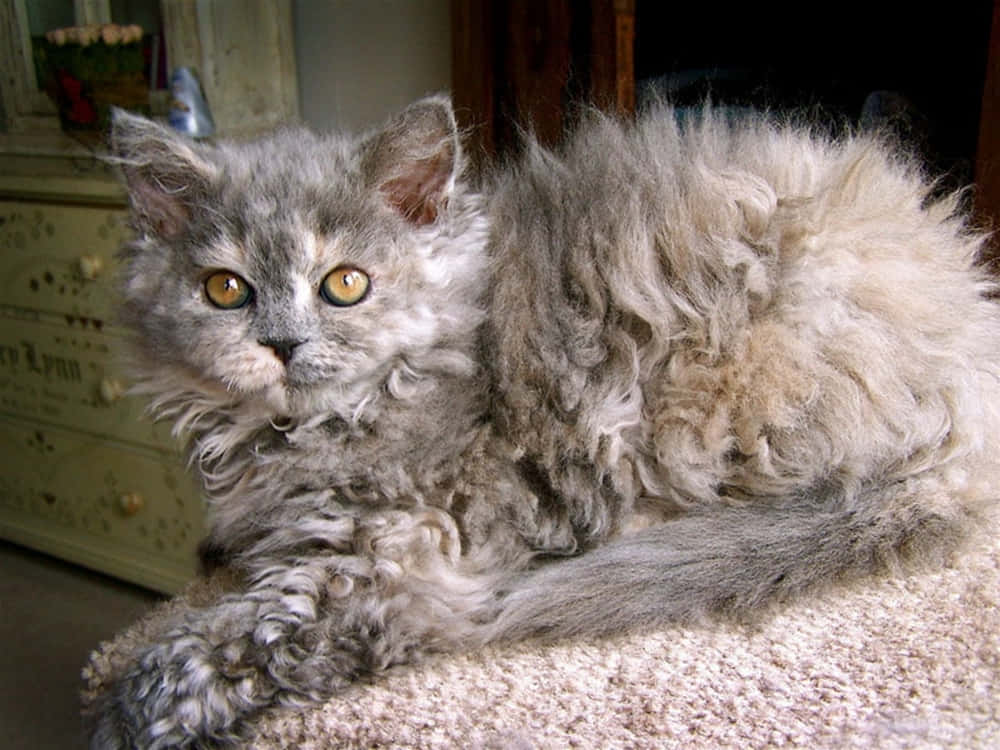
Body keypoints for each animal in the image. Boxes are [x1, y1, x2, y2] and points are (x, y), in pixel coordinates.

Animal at [90, 97, 1000, 748]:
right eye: (226, 290)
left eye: (345, 284)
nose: (280, 344)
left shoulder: (401, 563)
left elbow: (218, 652)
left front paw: (126, 711)